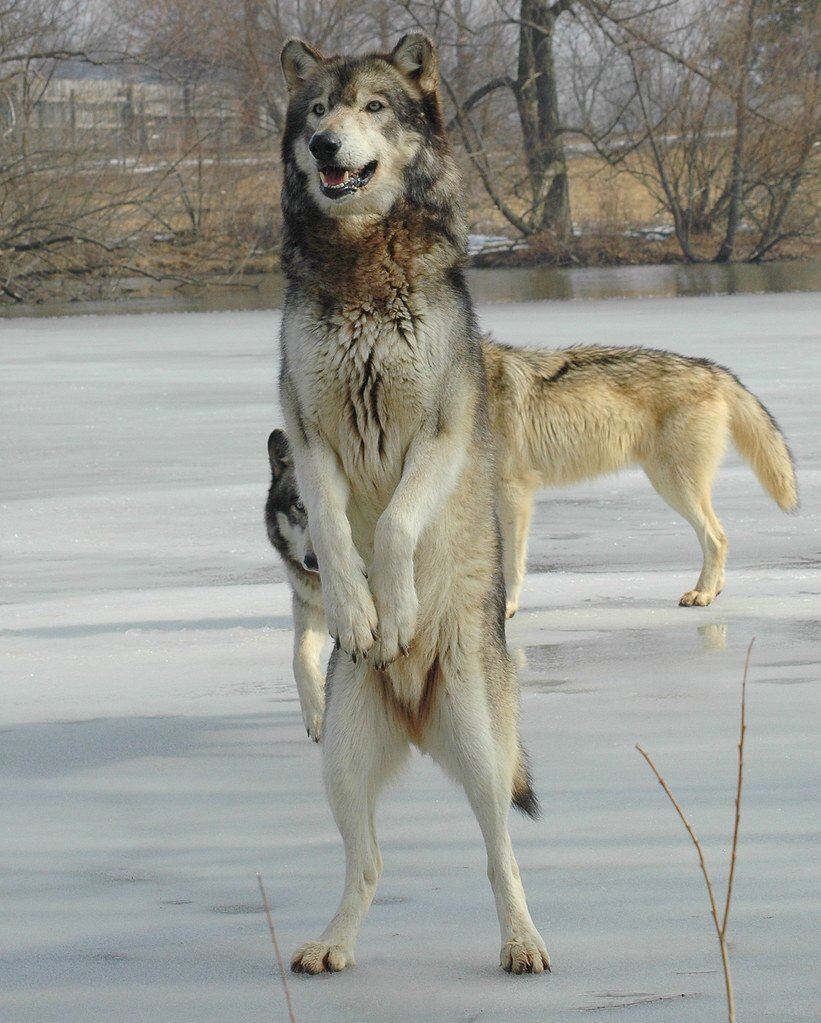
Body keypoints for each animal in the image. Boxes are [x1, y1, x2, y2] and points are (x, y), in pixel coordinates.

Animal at [276, 34, 552, 973]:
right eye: (316, 110)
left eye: (373, 106)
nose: (324, 146)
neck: (363, 262)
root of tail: (412, 706)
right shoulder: (311, 435)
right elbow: (333, 526)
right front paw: (359, 613)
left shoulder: (441, 426)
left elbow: (395, 522)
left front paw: (391, 611)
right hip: (339, 761)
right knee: (369, 862)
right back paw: (329, 944)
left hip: (479, 741)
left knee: (501, 852)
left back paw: (522, 943)